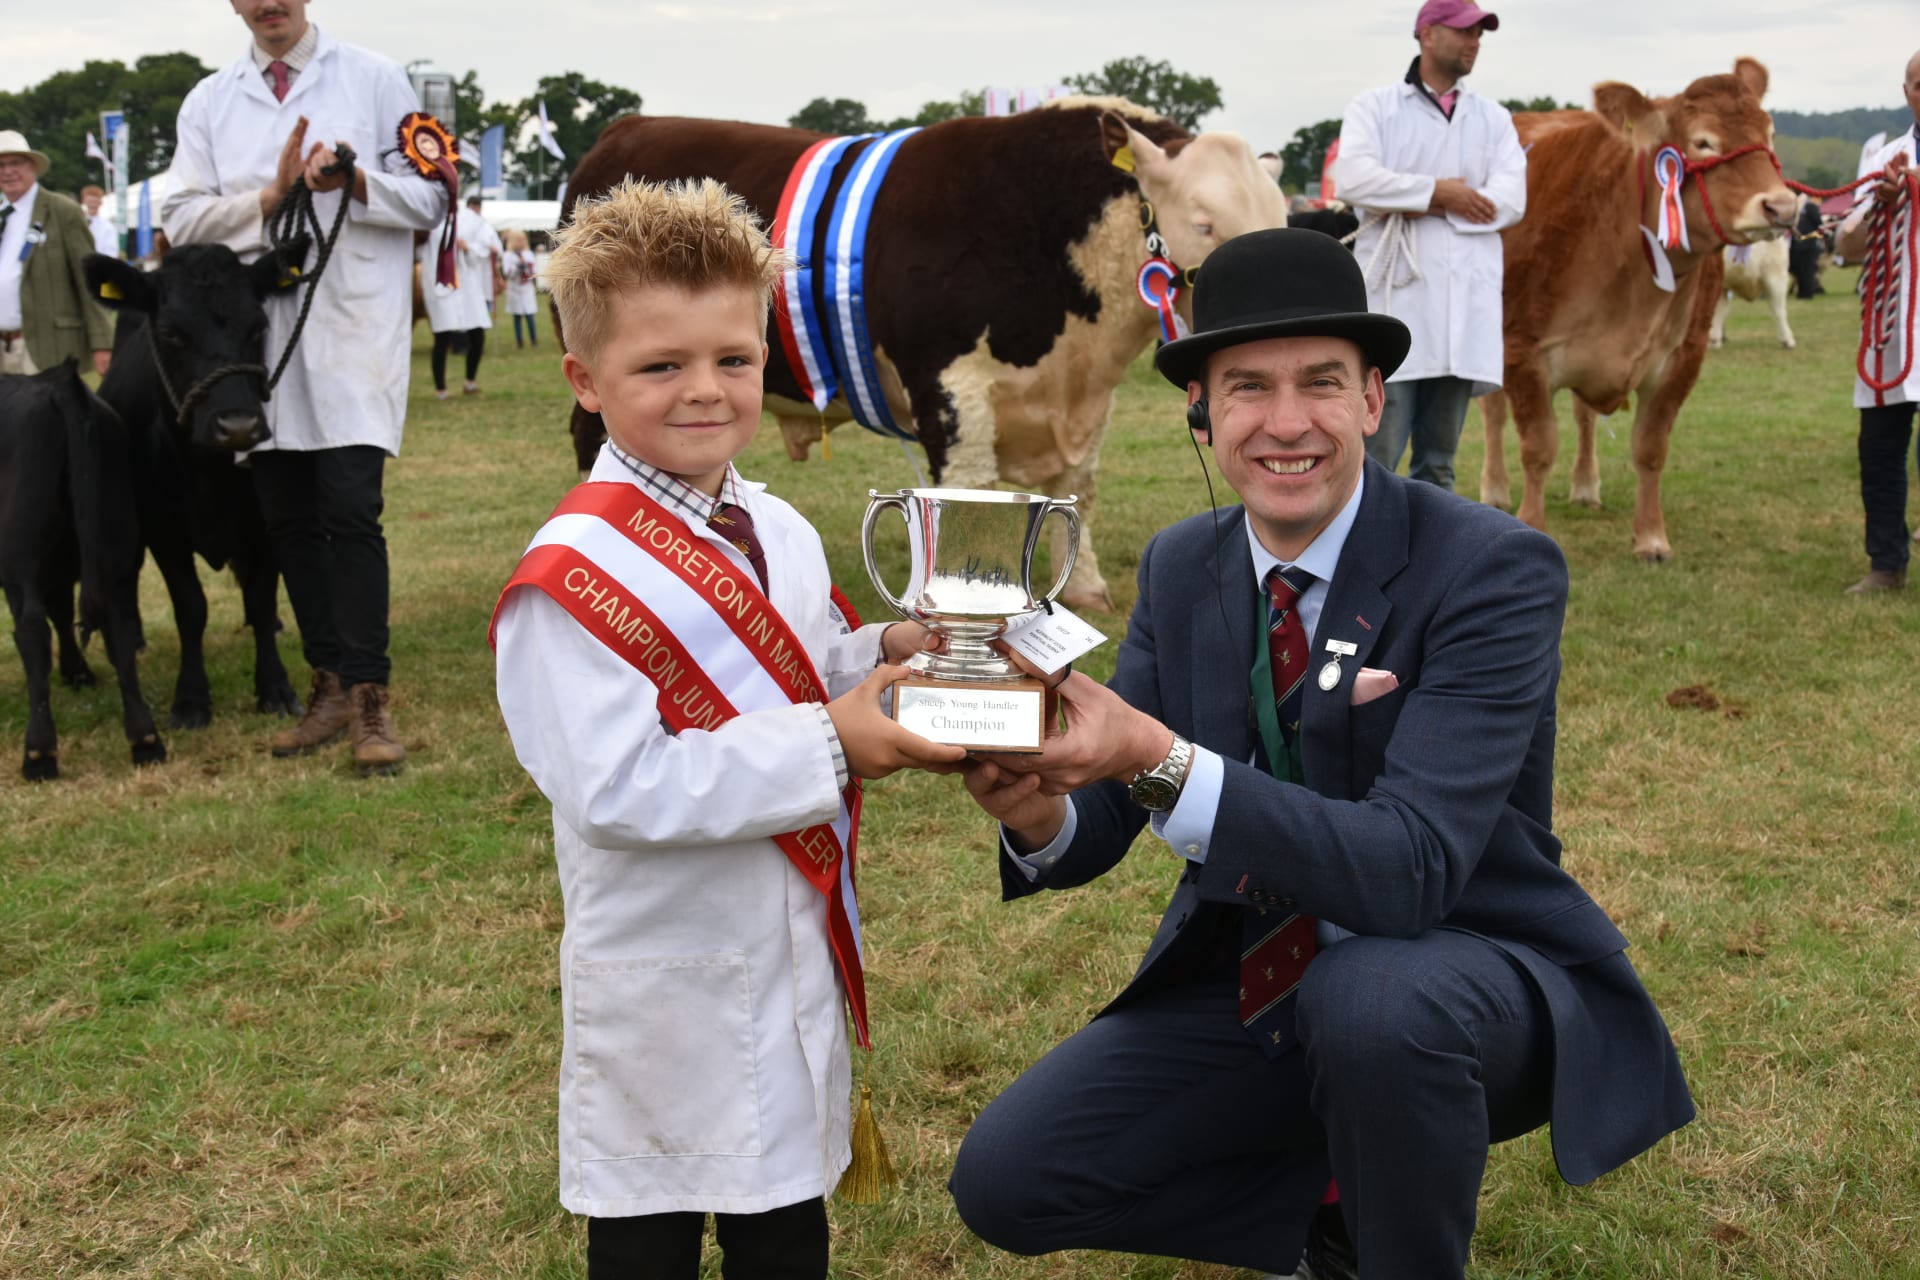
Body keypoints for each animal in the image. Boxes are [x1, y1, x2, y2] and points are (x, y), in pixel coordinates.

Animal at [0, 360, 163, 782]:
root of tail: (60, 383)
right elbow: (62, 610)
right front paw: (76, 672)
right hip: (115, 545)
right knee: (118, 627)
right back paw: (146, 740)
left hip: (20, 555)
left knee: (33, 630)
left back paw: (39, 754)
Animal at [84, 245, 303, 729]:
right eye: (171, 333)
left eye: (259, 326)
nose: (238, 426)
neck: (210, 474)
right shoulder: (164, 532)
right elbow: (190, 608)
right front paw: (191, 700)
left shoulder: (268, 523)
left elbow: (261, 599)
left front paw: (275, 687)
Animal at [560, 97, 1297, 610]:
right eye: (1204, 222)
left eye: (1284, 219)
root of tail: (628, 125)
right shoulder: (949, 385)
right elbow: (968, 490)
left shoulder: (1085, 399)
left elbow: (1079, 491)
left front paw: (1084, 587)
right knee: (593, 438)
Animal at [1482, 58, 1797, 560]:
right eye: (1703, 141)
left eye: (1768, 135)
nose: (1782, 206)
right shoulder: (1522, 351)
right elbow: (1538, 449)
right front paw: (1531, 523)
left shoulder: (1682, 357)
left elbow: (1650, 449)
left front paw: (1651, 537)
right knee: (1492, 412)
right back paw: (1494, 490)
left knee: (1585, 415)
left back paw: (1586, 486)